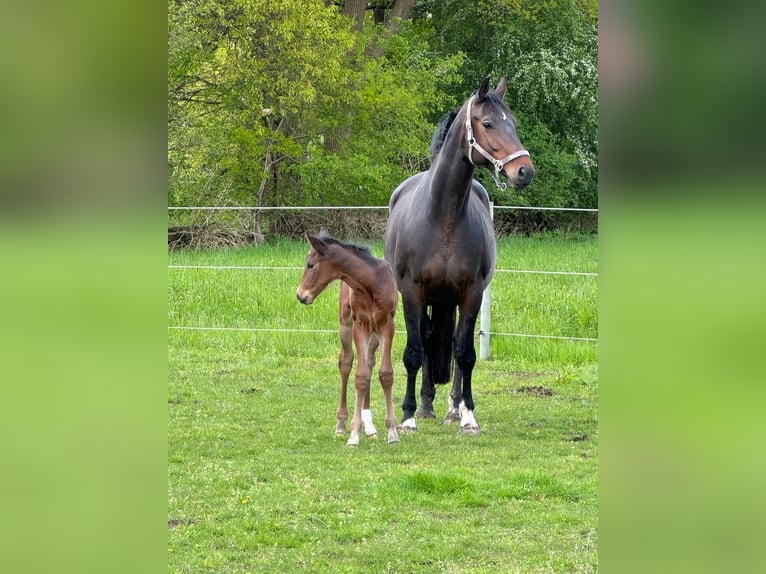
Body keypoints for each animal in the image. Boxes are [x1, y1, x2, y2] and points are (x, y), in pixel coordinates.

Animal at [296, 231, 402, 450]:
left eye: (310, 264)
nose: (300, 295)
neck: (370, 284)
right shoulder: (359, 325)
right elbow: (360, 376)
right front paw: (354, 433)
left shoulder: (387, 325)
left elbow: (385, 374)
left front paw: (392, 431)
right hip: (345, 325)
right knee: (346, 362)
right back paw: (341, 424)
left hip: (374, 336)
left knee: (369, 363)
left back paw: (370, 426)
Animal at [388, 77, 536, 436]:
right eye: (488, 123)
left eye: (513, 122)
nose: (524, 171)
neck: (444, 216)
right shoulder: (412, 291)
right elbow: (414, 351)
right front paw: (408, 415)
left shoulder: (472, 292)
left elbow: (465, 353)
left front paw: (468, 415)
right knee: (428, 340)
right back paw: (425, 405)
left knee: (454, 345)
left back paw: (452, 408)